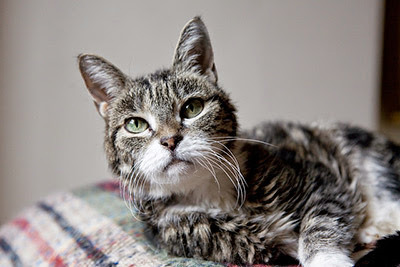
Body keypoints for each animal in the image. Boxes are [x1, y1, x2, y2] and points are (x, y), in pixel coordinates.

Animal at [77, 17, 400, 267]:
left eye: (192, 108)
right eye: (135, 125)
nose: (170, 140)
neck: (209, 192)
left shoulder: (319, 178)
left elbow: (323, 220)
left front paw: (327, 258)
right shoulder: (199, 234)